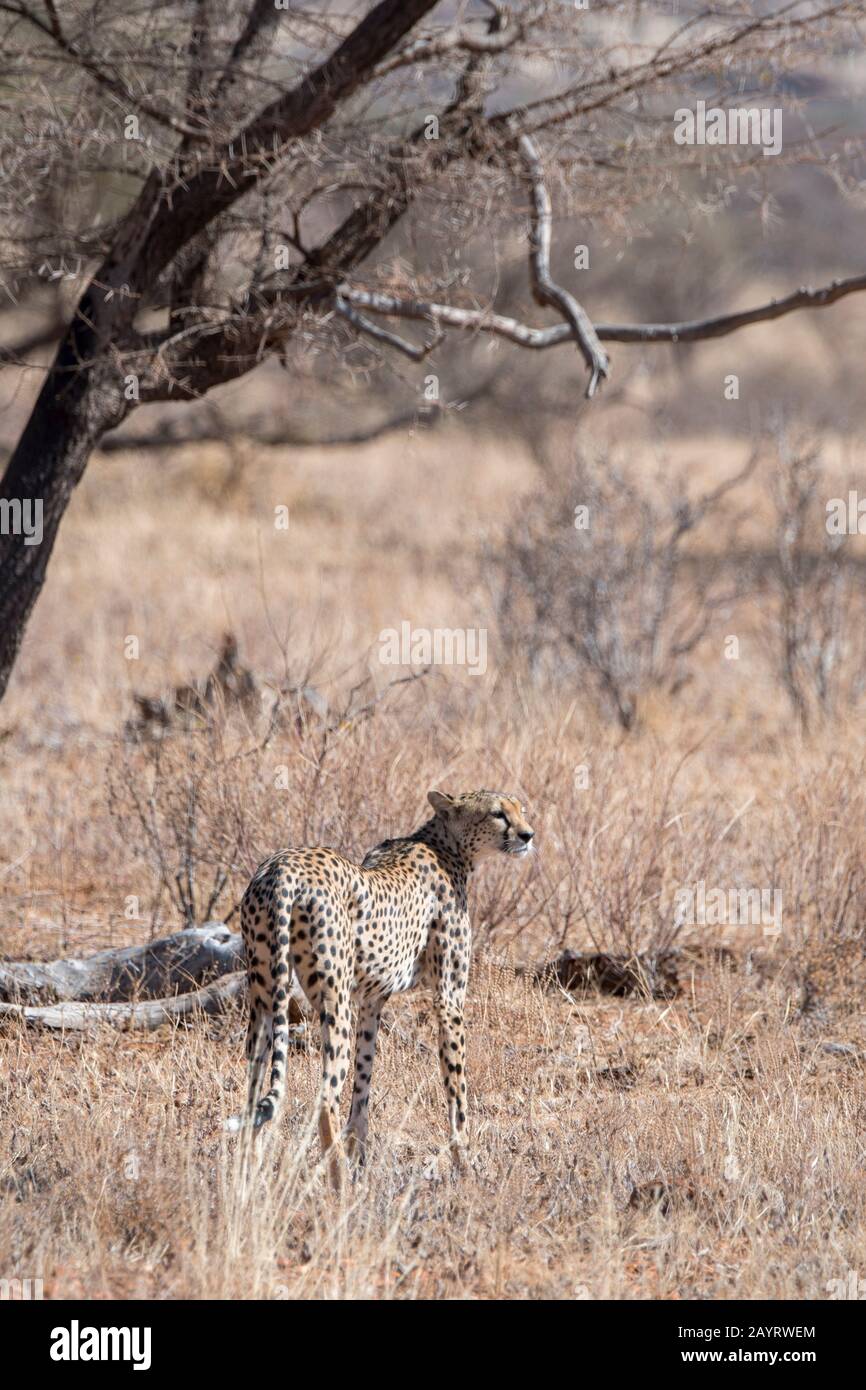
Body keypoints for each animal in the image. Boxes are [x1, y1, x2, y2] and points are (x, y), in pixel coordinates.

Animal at [227, 789, 534, 1185]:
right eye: (498, 813)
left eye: (520, 809)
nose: (528, 835)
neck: (446, 845)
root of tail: (281, 868)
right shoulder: (448, 1000)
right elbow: (457, 1093)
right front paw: (466, 1166)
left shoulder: (371, 1001)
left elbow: (363, 1083)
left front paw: (362, 1159)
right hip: (333, 1002)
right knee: (325, 1097)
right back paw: (338, 1185)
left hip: (264, 995)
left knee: (255, 1092)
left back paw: (247, 1177)